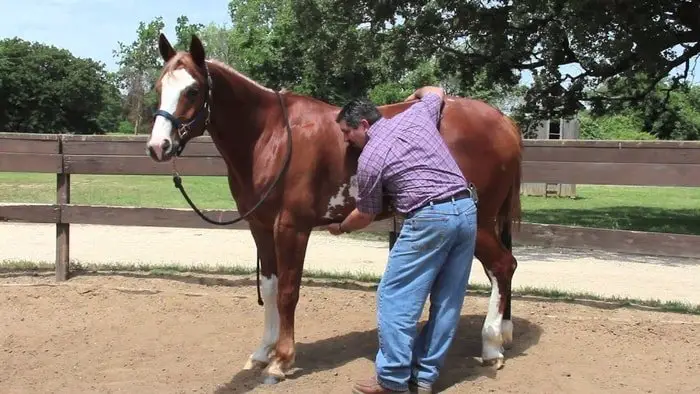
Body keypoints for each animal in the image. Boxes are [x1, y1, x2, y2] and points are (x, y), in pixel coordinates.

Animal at [146, 34, 520, 382]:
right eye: (159, 87)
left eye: (193, 90)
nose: (157, 146)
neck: (271, 137)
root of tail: (503, 122)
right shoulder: (260, 227)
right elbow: (269, 288)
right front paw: (263, 352)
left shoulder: (292, 228)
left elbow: (287, 291)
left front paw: (281, 360)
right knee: (497, 271)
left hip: (479, 220)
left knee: (503, 266)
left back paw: (491, 346)